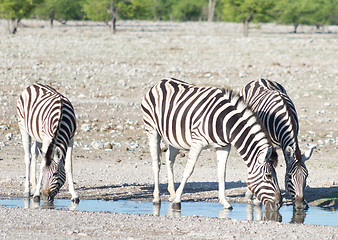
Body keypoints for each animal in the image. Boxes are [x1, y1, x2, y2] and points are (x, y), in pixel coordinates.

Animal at [141, 78, 282, 210]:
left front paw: (224, 202)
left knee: (169, 159)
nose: (279, 204)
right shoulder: (197, 142)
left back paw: (172, 193)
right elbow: (188, 170)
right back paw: (157, 198)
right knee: (156, 163)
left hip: (174, 137)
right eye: (268, 176)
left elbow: (222, 173)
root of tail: (160, 82)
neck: (225, 122)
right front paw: (178, 200)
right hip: (152, 129)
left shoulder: (224, 146)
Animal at [240, 79, 314, 210]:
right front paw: (257, 200)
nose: (300, 206)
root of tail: (260, 78)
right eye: (289, 176)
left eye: (307, 176)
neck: (283, 117)